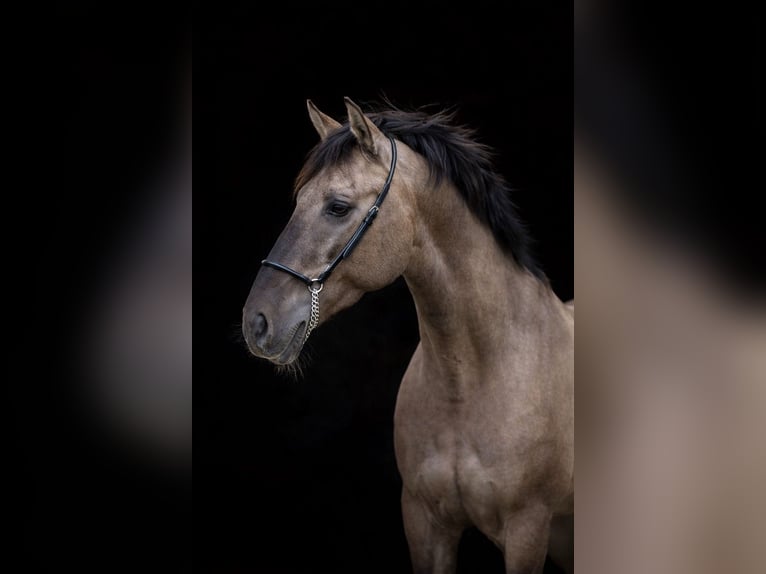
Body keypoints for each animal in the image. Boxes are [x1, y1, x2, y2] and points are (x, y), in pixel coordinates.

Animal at [242, 98, 573, 574]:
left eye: (337, 206)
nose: (257, 322)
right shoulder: (424, 522)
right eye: (298, 200)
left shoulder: (527, 529)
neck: (470, 385)